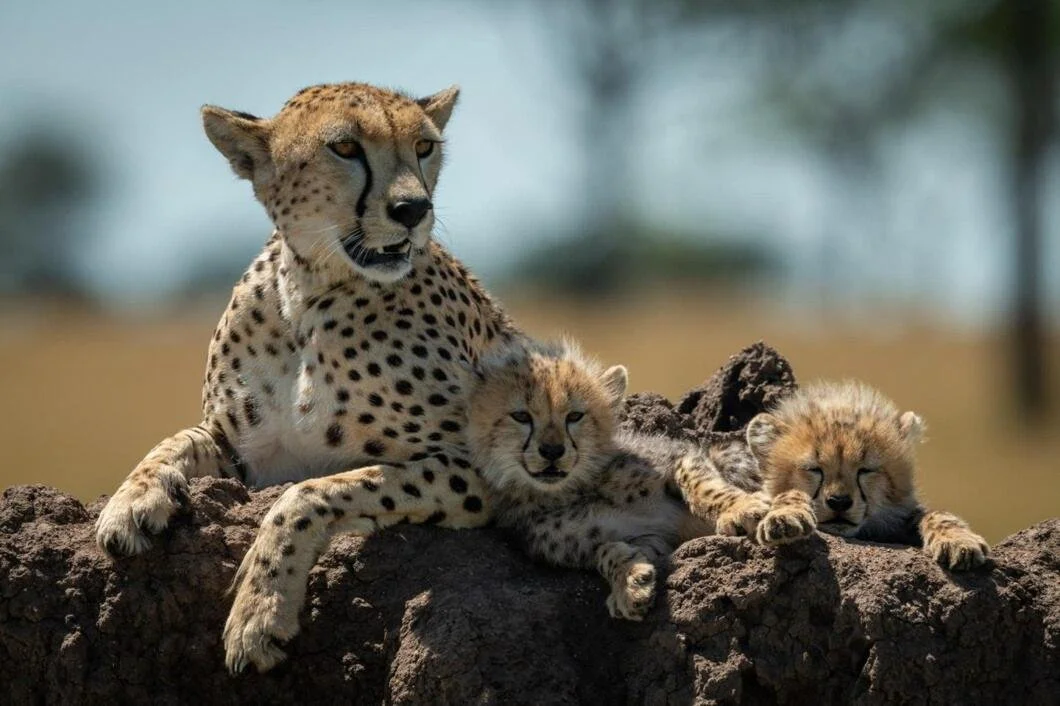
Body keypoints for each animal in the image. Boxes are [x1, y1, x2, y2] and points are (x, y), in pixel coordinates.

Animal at [92, 81, 522, 673]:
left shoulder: (490, 470)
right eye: (344, 148)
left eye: (424, 147)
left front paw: (259, 611)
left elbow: (313, 492)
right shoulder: (248, 457)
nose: (414, 209)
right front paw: (129, 504)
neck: (310, 293)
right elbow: (176, 439)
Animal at [466, 339, 771, 621]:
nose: (552, 451)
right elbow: (607, 549)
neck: (577, 488)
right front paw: (630, 582)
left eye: (574, 416)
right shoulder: (653, 539)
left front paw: (741, 509)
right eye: (521, 416)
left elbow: (704, 487)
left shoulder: (681, 456)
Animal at [746, 379, 990, 570]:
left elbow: (936, 514)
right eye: (813, 469)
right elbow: (787, 495)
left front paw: (958, 541)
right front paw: (784, 517)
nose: (839, 501)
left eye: (866, 470)